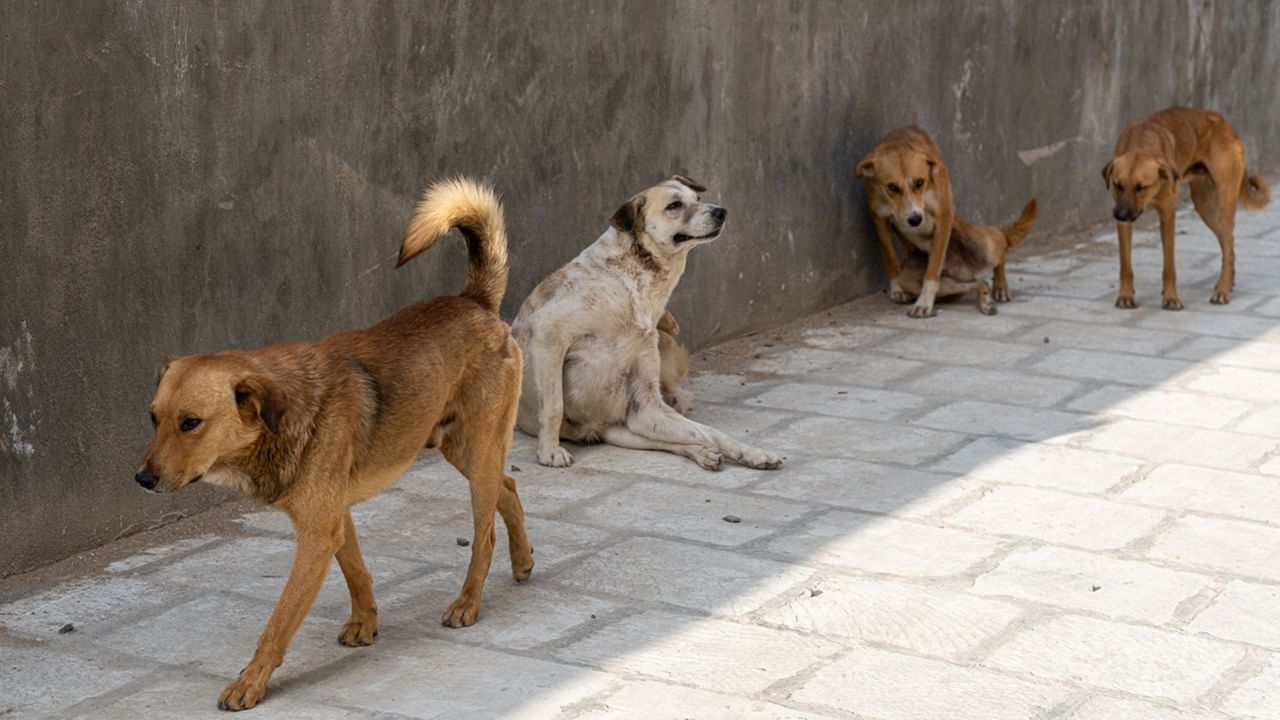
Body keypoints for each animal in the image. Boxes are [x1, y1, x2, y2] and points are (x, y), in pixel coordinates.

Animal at [509, 175, 778, 471]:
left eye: (697, 199)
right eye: (674, 205)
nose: (721, 211)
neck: (635, 280)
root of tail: (596, 427)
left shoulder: (647, 408)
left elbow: (711, 432)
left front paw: (752, 453)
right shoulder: (549, 332)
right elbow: (554, 405)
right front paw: (549, 452)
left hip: (635, 425)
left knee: (683, 437)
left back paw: (704, 452)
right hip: (626, 429)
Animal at [855, 124, 1034, 315]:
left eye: (920, 182)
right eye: (892, 187)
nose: (915, 219)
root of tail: (964, 271)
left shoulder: (944, 215)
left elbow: (933, 268)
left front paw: (924, 302)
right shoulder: (878, 218)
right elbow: (889, 256)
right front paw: (897, 289)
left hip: (983, 244)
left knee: (1001, 244)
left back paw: (1000, 285)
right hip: (921, 279)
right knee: (980, 283)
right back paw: (985, 299)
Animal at [1100, 106, 1269, 308]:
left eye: (1141, 187)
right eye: (1117, 185)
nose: (1120, 215)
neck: (1142, 141)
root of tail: (1224, 123)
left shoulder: (1167, 215)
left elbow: (1169, 265)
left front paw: (1171, 298)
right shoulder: (1124, 223)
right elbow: (1125, 265)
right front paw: (1126, 295)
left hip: (1224, 206)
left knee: (1228, 246)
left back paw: (1222, 290)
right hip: (1205, 207)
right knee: (1229, 244)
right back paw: (1228, 283)